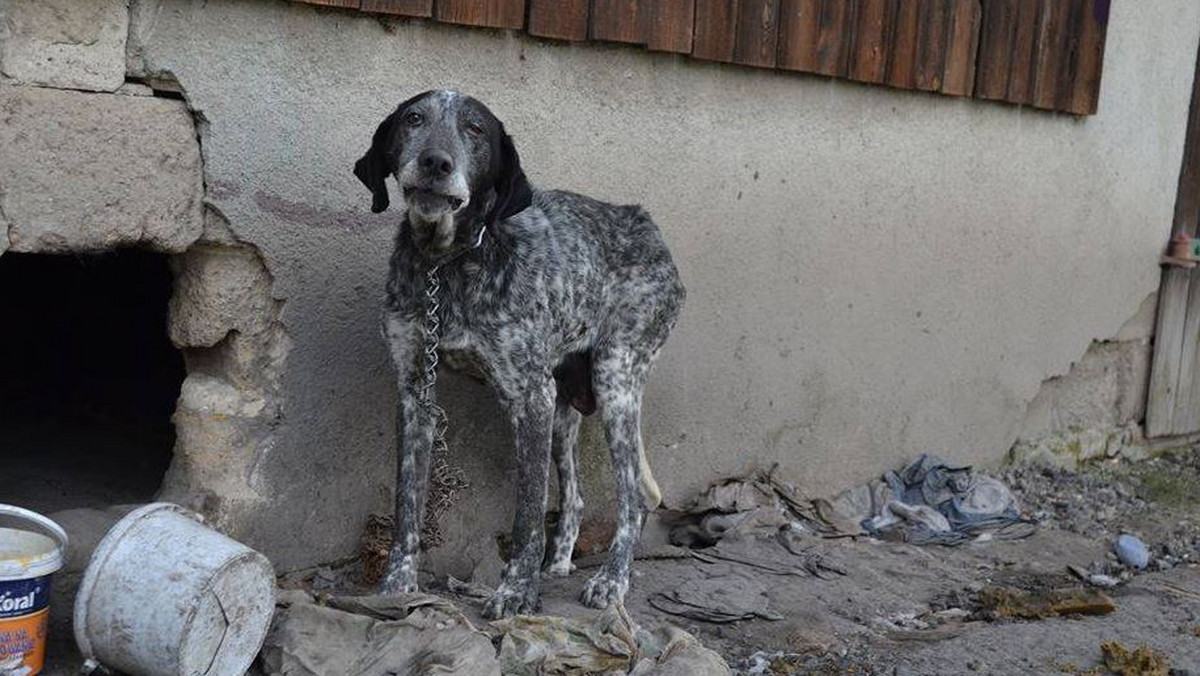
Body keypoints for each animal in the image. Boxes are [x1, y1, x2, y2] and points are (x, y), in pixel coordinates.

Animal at [352, 90, 686, 619]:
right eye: (413, 119)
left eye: (475, 129)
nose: (435, 162)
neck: (447, 264)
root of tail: (645, 223)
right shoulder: (414, 391)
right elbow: (408, 505)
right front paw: (397, 587)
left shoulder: (529, 397)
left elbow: (527, 514)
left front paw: (516, 592)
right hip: (564, 409)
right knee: (575, 495)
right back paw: (562, 562)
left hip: (615, 381)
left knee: (632, 499)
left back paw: (612, 581)